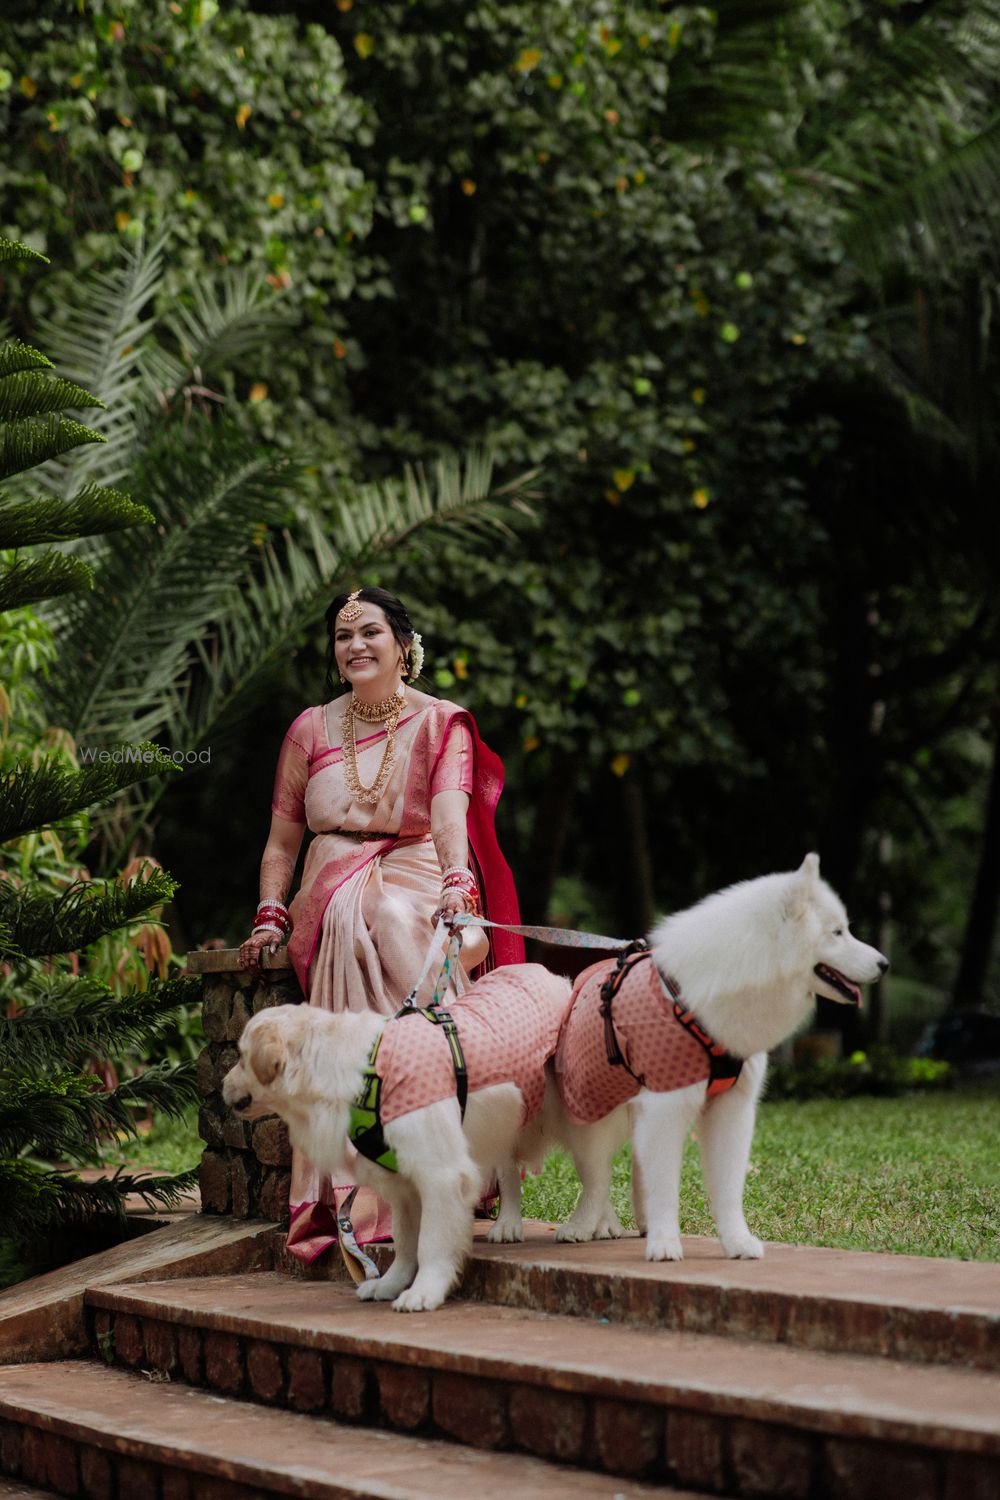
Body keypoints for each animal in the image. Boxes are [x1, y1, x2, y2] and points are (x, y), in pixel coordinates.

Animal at [223, 966, 575, 1308]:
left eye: (240, 1055)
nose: (222, 1085)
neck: (363, 1077)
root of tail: (550, 974)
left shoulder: (441, 1174)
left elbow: (431, 1241)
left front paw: (425, 1292)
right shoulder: (403, 1184)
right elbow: (405, 1242)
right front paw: (389, 1284)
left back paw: (581, 1226)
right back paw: (508, 1224)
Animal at [515, 852, 881, 1260]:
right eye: (837, 932)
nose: (884, 964)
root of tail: (575, 985)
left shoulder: (731, 1109)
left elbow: (727, 1190)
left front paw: (737, 1242)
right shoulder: (667, 1106)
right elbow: (663, 1187)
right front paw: (664, 1245)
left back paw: (625, 1224)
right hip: (594, 1111)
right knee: (597, 1177)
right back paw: (583, 1226)